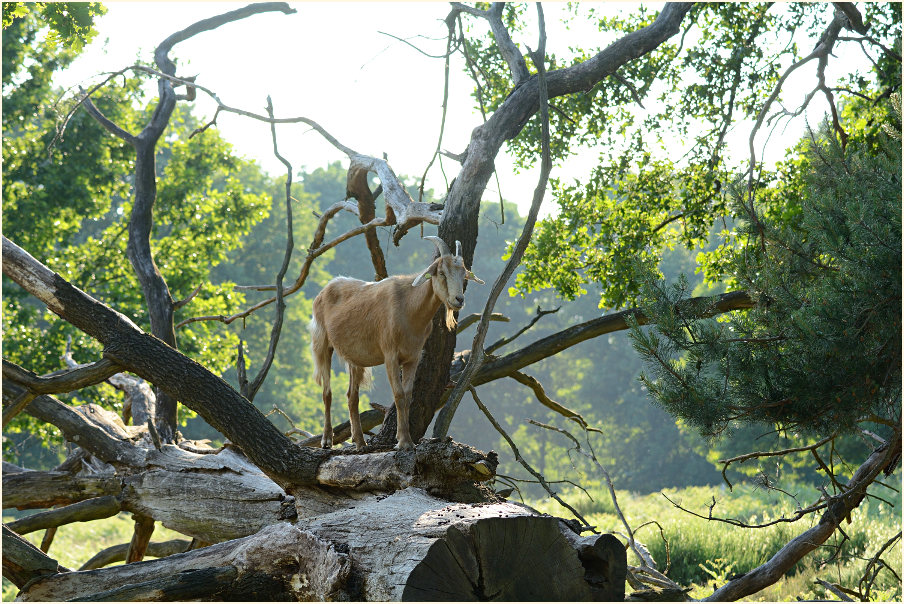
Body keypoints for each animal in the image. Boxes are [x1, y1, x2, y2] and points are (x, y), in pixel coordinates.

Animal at [308, 236, 484, 448]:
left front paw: (405, 439)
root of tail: (323, 291)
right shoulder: (390, 355)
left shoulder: (413, 357)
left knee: (352, 396)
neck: (409, 307)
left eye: (464, 274)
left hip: (355, 357)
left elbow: (408, 395)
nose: (458, 299)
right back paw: (327, 439)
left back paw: (360, 442)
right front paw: (403, 442)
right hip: (322, 343)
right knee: (327, 392)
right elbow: (398, 395)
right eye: (441, 272)